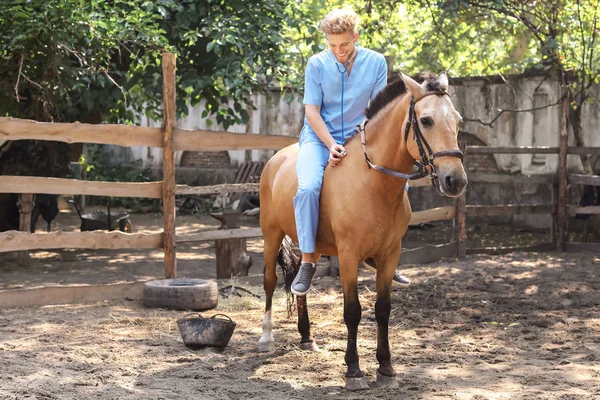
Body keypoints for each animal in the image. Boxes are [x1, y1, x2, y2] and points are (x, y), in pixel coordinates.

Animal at [255, 70, 466, 390]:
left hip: (308, 244)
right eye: (426, 120)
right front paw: (354, 370)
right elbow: (353, 311)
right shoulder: (348, 256)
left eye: (457, 120)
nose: (455, 180)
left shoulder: (390, 255)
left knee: (300, 282)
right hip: (271, 236)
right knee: (269, 281)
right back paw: (266, 337)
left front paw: (386, 368)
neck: (373, 183)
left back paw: (307, 337)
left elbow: (383, 309)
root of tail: (275, 160)